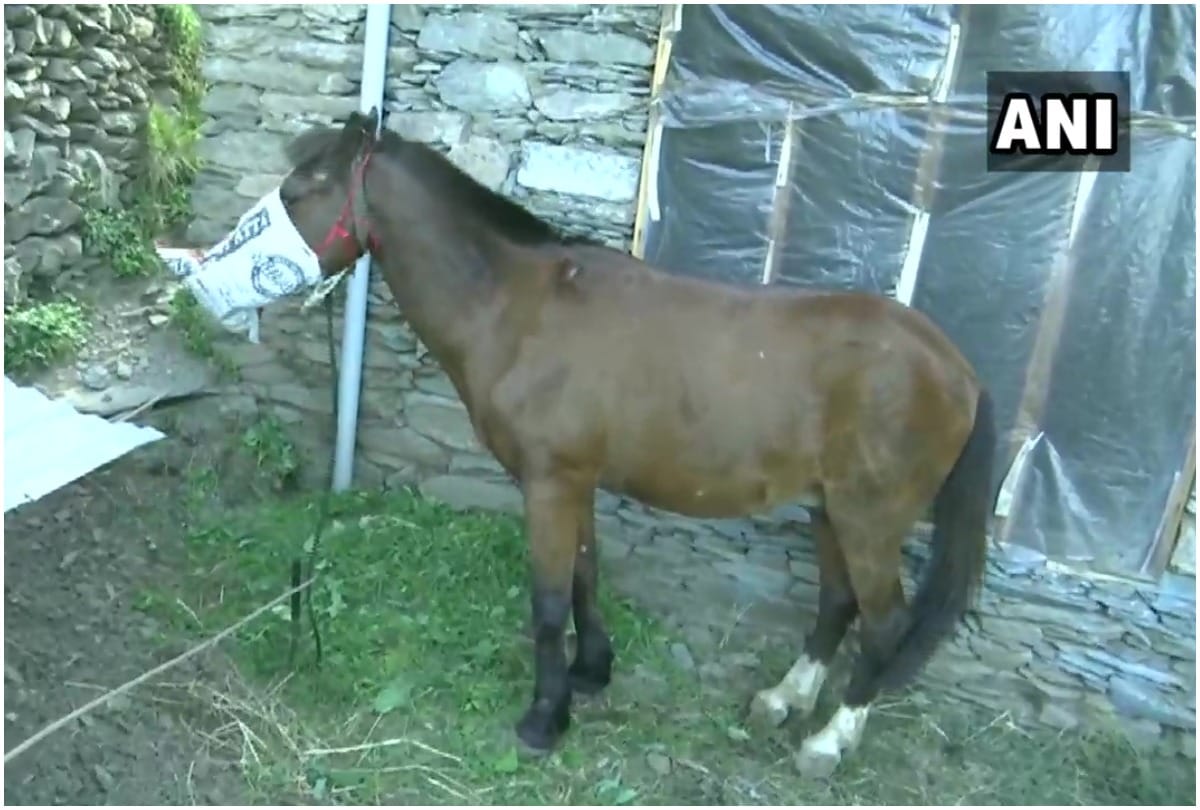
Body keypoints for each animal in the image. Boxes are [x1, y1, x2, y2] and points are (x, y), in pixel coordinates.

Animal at [274, 109, 996, 778]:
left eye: (296, 193)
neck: (523, 309)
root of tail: (957, 366)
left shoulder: (550, 482)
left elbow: (549, 600)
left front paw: (545, 716)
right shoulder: (575, 481)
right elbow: (586, 574)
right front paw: (592, 672)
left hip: (869, 518)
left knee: (884, 624)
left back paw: (830, 739)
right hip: (831, 509)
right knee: (838, 603)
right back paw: (784, 699)